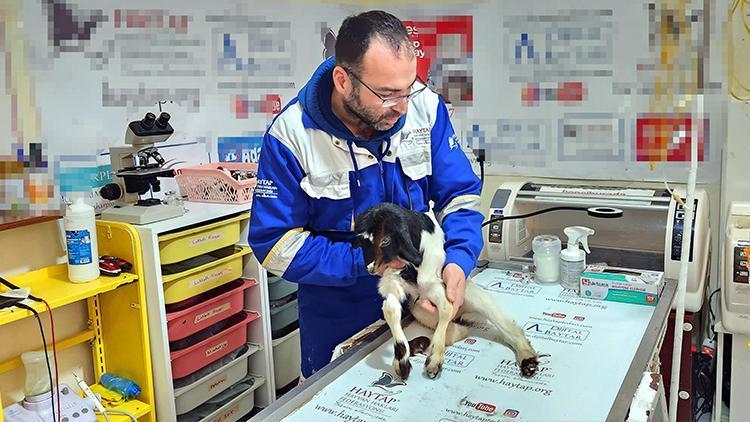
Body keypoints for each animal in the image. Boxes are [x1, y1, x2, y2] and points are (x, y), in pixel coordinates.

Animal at [356, 203, 544, 380]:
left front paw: (434, 361)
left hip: (475, 296)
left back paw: (528, 361)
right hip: (420, 309)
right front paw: (401, 362)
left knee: (509, 328)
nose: (370, 269)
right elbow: (390, 310)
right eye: (363, 241)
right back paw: (422, 344)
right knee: (458, 330)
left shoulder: (436, 285)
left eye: (385, 240)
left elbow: (446, 308)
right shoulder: (393, 283)